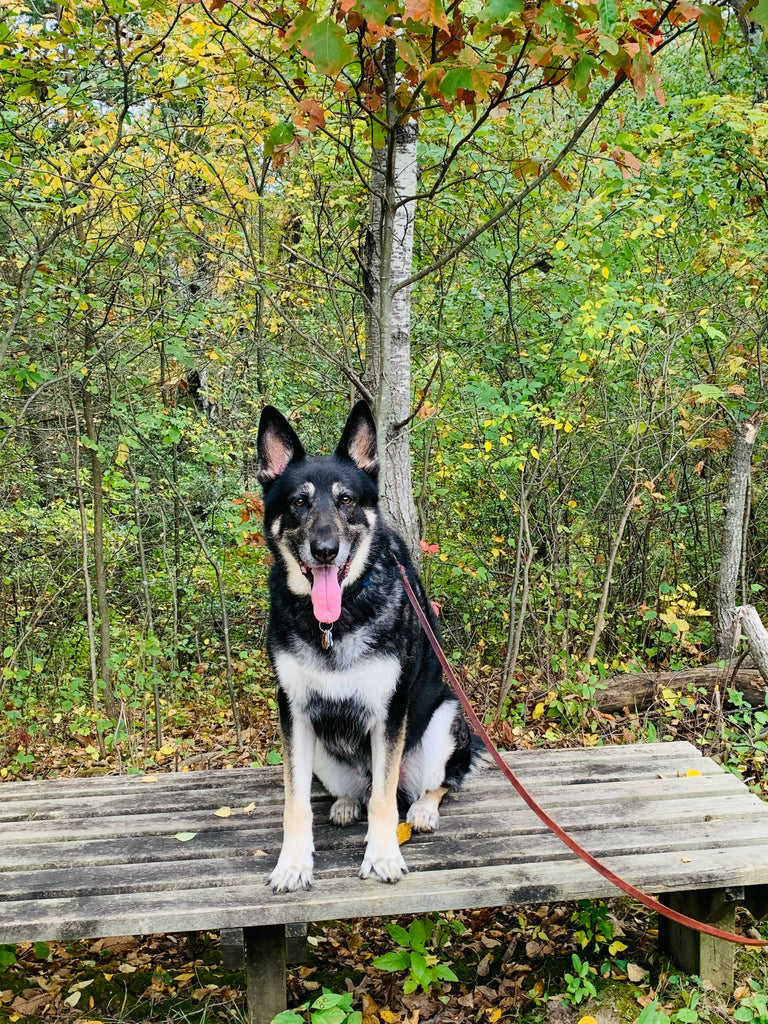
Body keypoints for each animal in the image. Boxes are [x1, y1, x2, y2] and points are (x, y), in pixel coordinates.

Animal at [260, 403, 487, 892]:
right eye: (299, 502)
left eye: (346, 500)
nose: (325, 550)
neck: (334, 621)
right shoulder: (294, 713)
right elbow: (295, 803)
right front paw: (293, 862)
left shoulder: (389, 712)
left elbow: (384, 802)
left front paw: (382, 855)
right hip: (322, 752)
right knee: (356, 793)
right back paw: (346, 803)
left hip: (445, 720)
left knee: (433, 784)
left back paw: (422, 809)